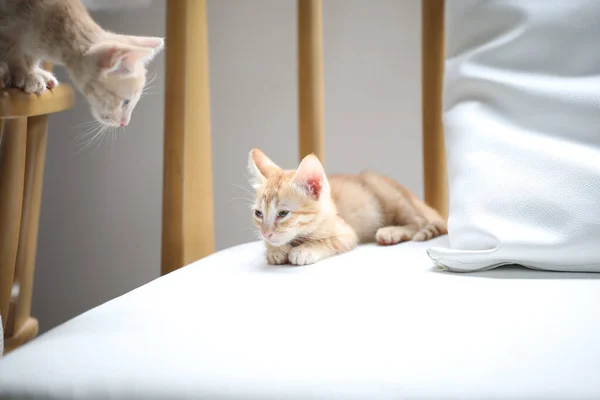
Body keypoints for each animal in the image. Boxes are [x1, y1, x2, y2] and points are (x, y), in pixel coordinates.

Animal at [0, 0, 164, 126]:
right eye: (126, 102)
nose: (125, 123)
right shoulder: (9, 20)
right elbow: (12, 49)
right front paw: (25, 74)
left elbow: (31, 56)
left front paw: (34, 71)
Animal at [246, 148, 448, 266]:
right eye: (258, 214)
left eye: (283, 213)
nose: (266, 233)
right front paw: (274, 250)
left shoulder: (347, 234)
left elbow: (328, 240)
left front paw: (304, 250)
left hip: (382, 187)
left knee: (420, 223)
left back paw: (390, 232)